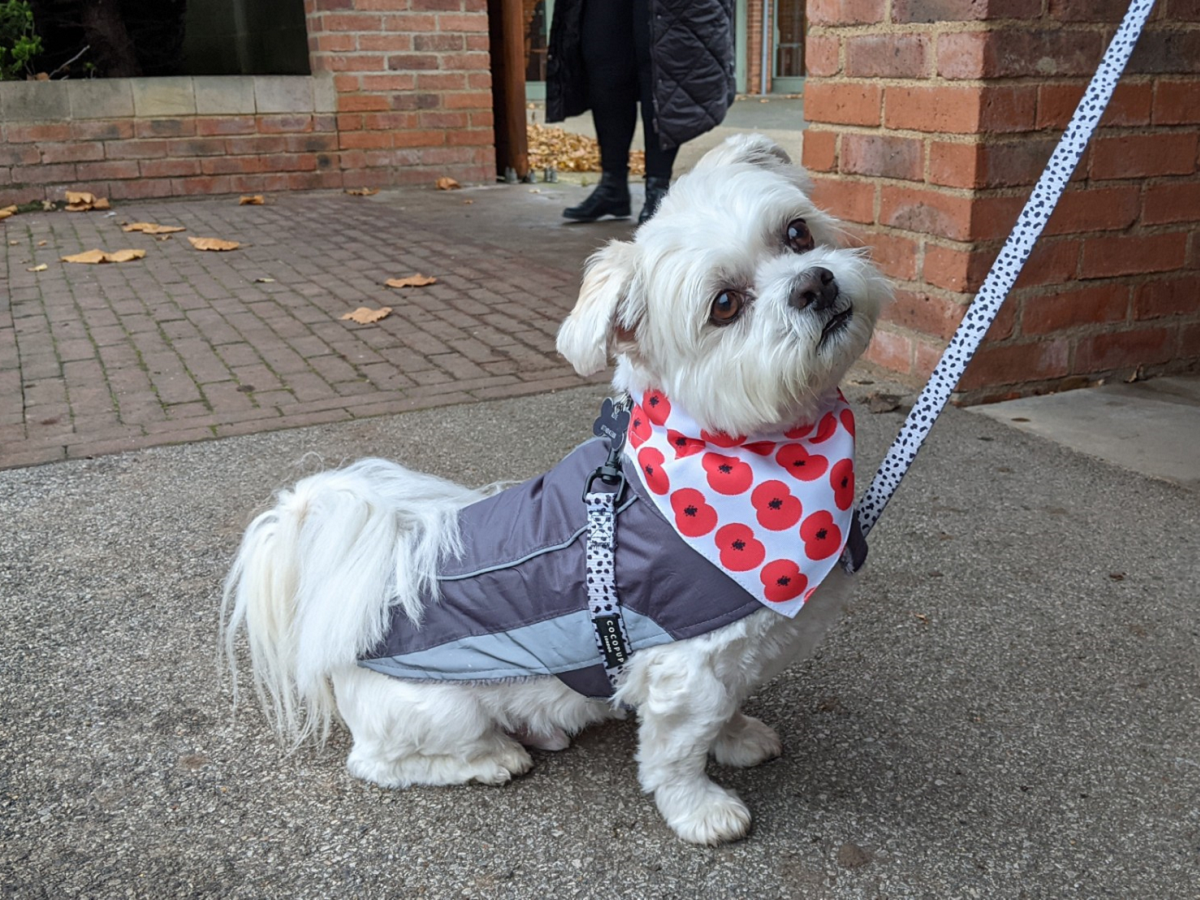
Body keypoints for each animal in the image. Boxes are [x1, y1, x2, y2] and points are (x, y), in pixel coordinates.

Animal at [223, 133, 892, 844]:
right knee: (382, 761)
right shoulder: (685, 675)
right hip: (441, 710)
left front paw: (738, 739)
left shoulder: (727, 665)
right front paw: (701, 809)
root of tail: (355, 606)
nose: (815, 282)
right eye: (724, 305)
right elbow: (678, 753)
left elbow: (730, 709)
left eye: (796, 233)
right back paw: (493, 759)